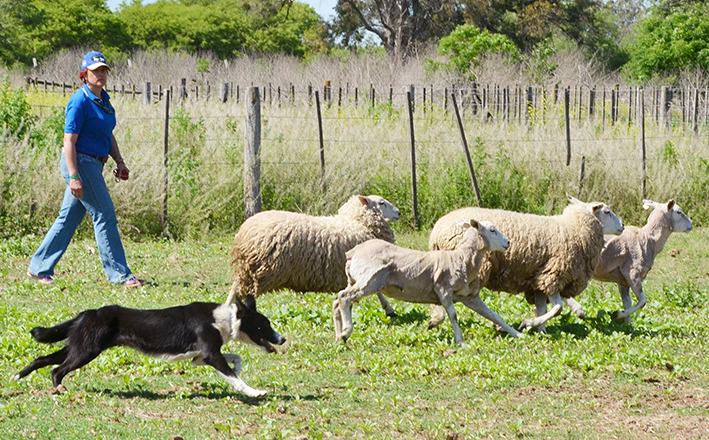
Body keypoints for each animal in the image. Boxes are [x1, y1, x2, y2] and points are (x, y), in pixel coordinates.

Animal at [334, 218, 512, 346]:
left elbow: (495, 316)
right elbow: (453, 315)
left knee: (337, 303)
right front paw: (461, 342)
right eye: (492, 230)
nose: (508, 242)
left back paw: (338, 335)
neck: (460, 258)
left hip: (355, 280)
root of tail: (353, 252)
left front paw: (515, 333)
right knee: (344, 297)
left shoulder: (469, 297)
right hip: (369, 280)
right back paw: (346, 332)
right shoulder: (443, 290)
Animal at [426, 196, 620, 334]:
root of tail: (436, 231)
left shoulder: (540, 278)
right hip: (473, 268)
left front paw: (541, 331)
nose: (623, 225)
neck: (573, 227)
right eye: (607, 212)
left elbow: (542, 308)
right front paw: (528, 323)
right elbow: (558, 308)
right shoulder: (554, 274)